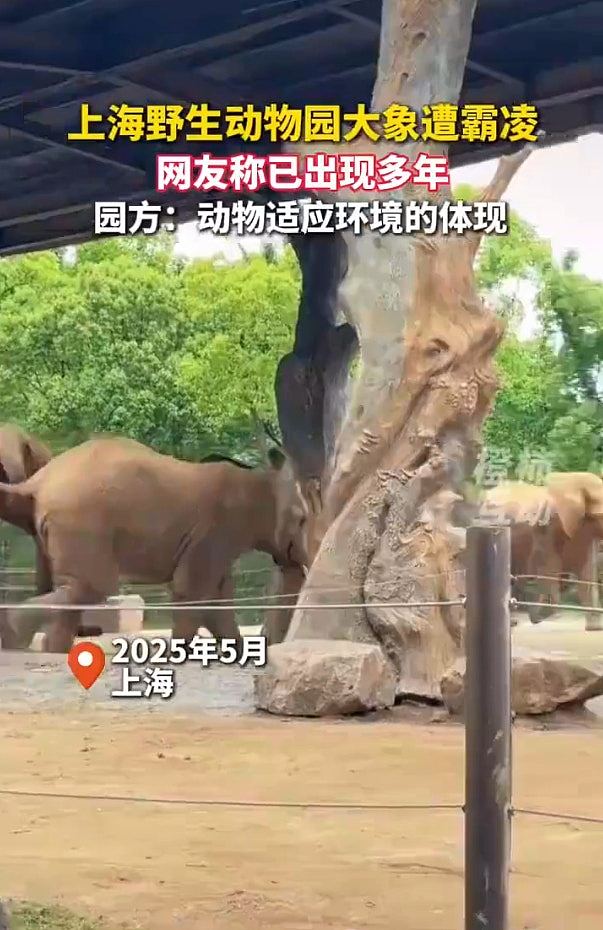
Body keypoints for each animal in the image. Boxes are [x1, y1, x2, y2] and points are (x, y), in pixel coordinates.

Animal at [0, 435, 308, 653]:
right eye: (302, 519)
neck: (260, 479)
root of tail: (37, 484)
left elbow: (216, 598)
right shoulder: (216, 529)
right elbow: (193, 590)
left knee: (70, 588)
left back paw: (51, 649)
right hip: (82, 524)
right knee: (91, 587)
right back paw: (15, 635)